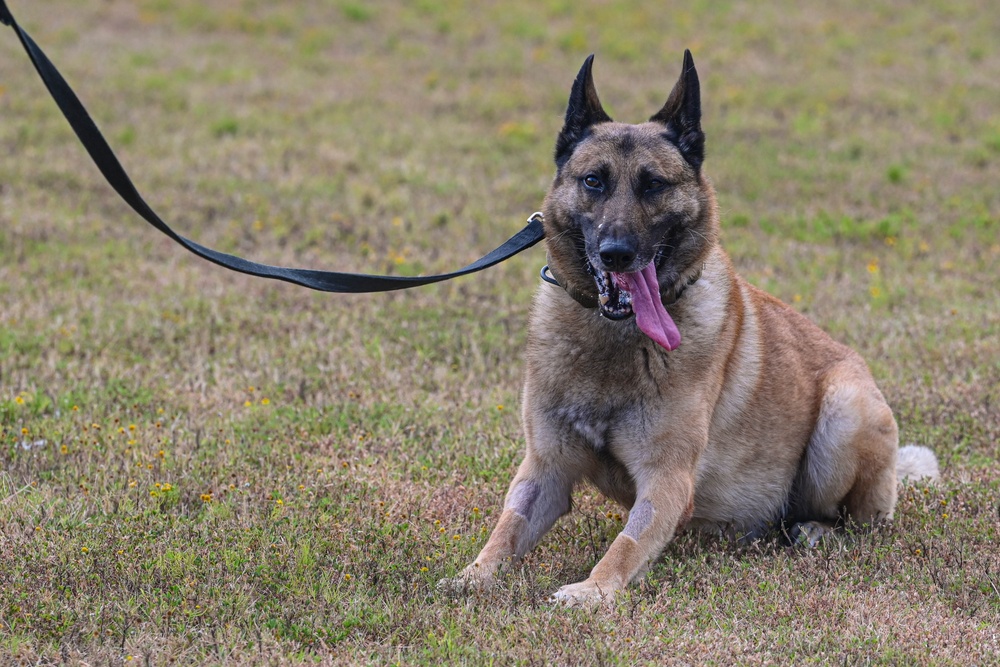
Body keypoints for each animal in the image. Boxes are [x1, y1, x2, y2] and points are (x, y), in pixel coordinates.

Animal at [438, 51, 936, 604]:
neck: (616, 340)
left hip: (845, 411)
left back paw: (816, 530)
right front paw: (472, 576)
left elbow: (627, 543)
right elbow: (506, 528)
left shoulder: (667, 479)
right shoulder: (545, 469)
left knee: (861, 522)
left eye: (654, 184)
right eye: (593, 181)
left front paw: (593, 591)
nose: (616, 253)